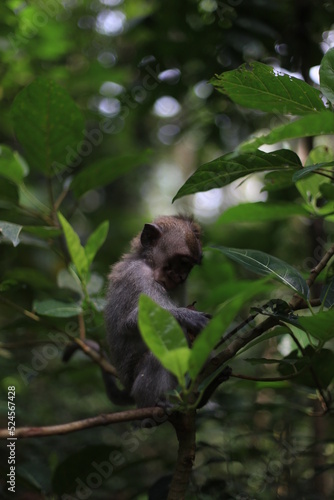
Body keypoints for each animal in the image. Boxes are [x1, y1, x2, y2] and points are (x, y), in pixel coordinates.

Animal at [103, 214, 211, 406]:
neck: (149, 264)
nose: (181, 277)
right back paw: (152, 402)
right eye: (182, 262)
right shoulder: (138, 277)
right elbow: (133, 320)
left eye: (188, 266)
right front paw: (189, 316)